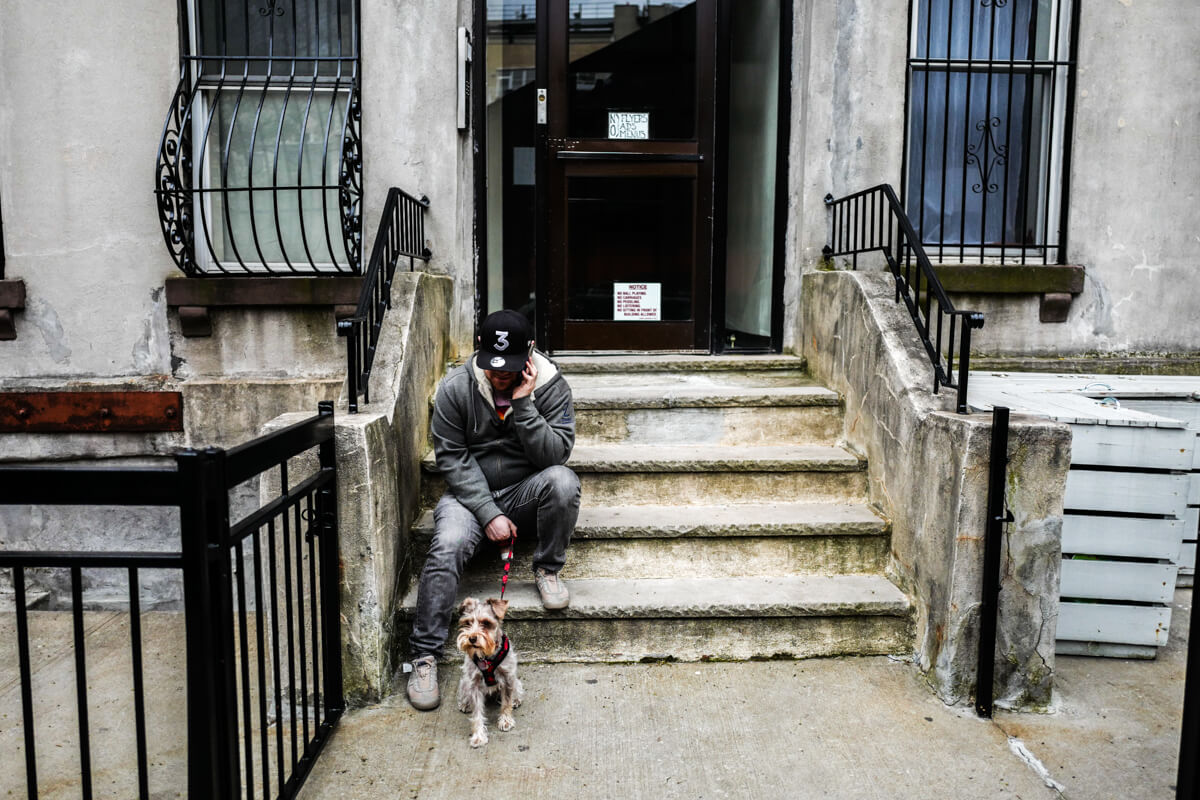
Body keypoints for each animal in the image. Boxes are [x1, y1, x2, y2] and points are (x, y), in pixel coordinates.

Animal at [453, 597, 520, 748]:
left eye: (486, 623)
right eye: (468, 623)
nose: (472, 638)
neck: (486, 657)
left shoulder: (508, 678)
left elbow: (506, 703)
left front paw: (505, 721)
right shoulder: (473, 684)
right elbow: (477, 713)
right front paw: (478, 736)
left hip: (516, 681)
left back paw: (516, 700)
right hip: (464, 682)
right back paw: (465, 704)